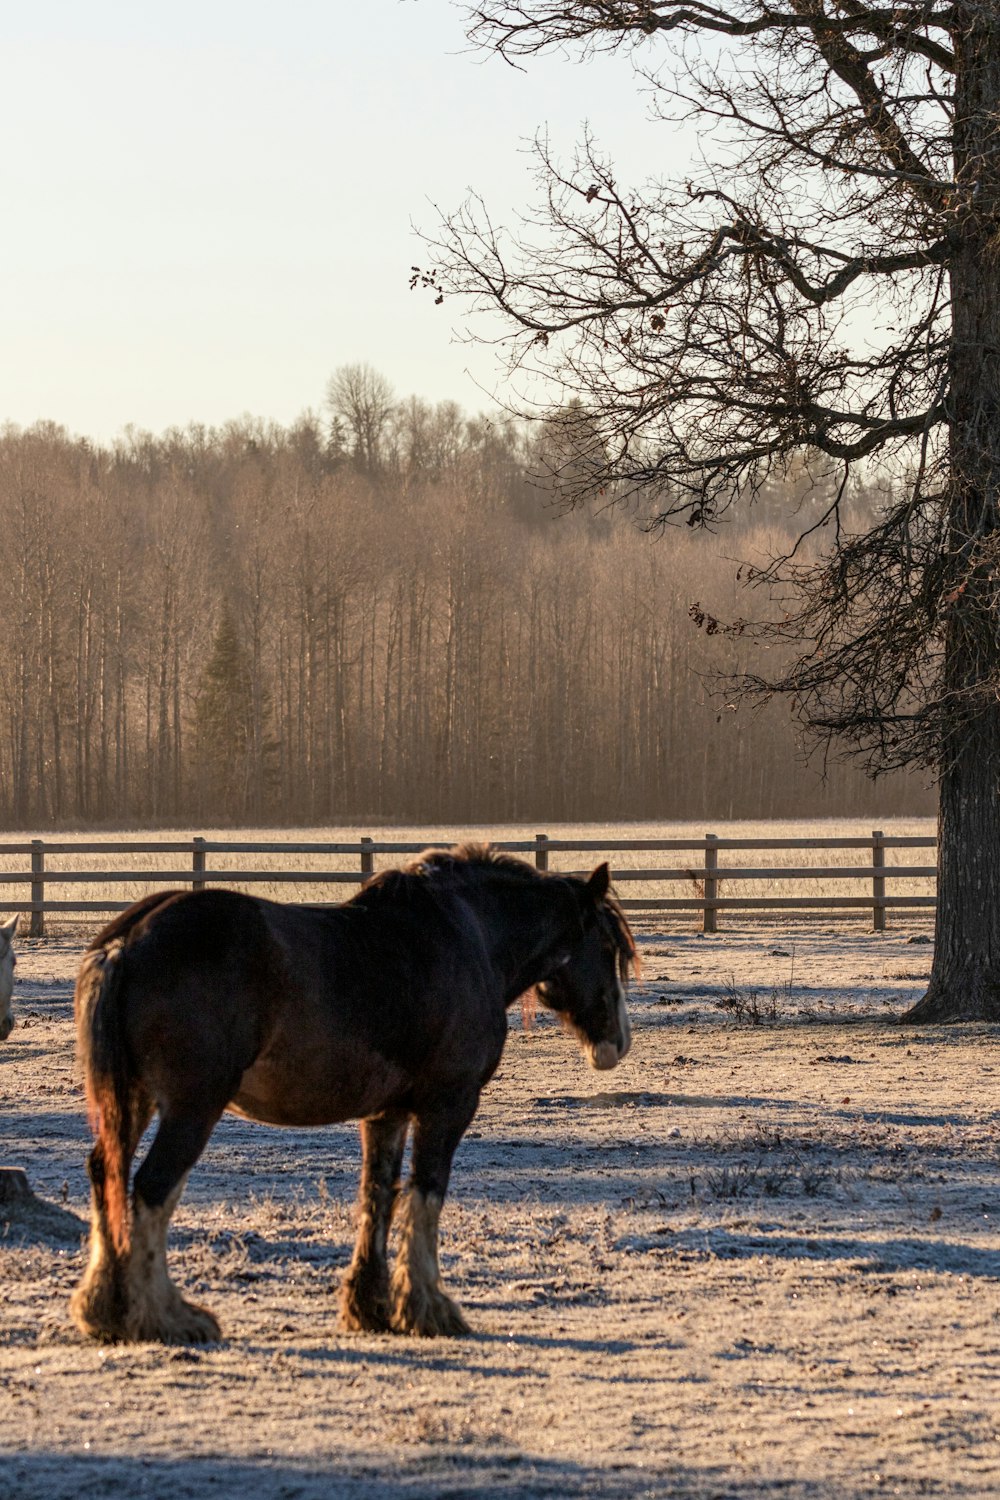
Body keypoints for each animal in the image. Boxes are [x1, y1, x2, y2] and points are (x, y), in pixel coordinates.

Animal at [70, 846, 638, 1350]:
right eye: (609, 948)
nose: (617, 1042)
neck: (469, 935)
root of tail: (128, 940)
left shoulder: (386, 1114)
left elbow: (377, 1195)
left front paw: (372, 1307)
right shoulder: (448, 1105)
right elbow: (427, 1193)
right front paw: (429, 1308)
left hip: (132, 1099)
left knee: (107, 1175)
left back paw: (106, 1311)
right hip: (192, 1107)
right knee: (152, 1188)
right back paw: (166, 1316)